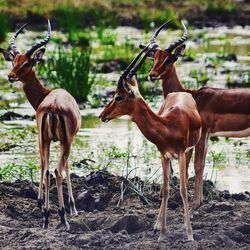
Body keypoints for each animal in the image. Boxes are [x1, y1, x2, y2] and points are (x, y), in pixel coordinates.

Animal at [0, 20, 80, 229]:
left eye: (26, 62)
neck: (46, 94)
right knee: (57, 170)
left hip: (44, 140)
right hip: (62, 142)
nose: (10, 76)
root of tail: (53, 106)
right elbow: (66, 166)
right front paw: (72, 207)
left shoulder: (46, 139)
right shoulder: (66, 140)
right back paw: (62, 218)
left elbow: (44, 165)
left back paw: (45, 217)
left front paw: (40, 204)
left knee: (47, 170)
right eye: (14, 60)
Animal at [98, 46, 202, 241]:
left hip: (190, 151)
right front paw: (161, 234)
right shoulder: (164, 155)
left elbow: (183, 189)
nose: (102, 115)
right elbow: (165, 190)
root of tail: (181, 92)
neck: (169, 125)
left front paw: (190, 234)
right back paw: (157, 226)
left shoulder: (181, 154)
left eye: (119, 96)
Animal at [139, 21, 250, 213]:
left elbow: (197, 165)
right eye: (154, 58)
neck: (191, 95)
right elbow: (199, 164)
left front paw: (195, 204)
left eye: (169, 59)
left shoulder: (203, 133)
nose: (152, 75)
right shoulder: (204, 136)